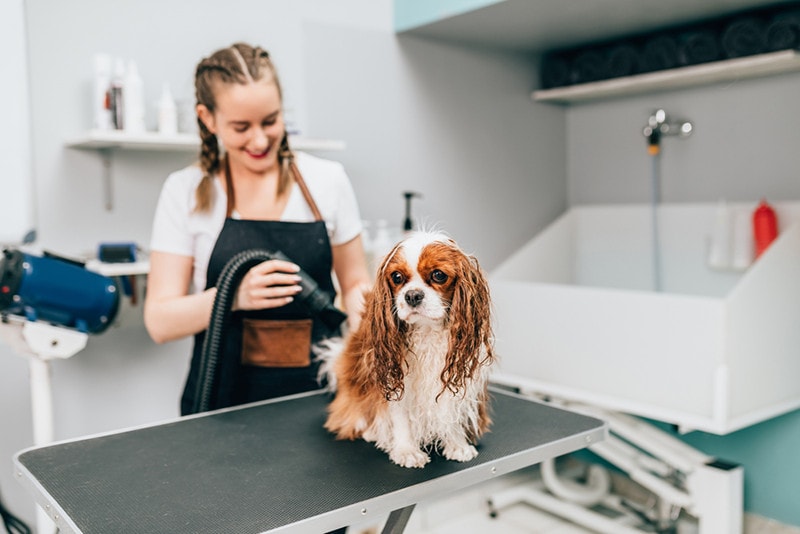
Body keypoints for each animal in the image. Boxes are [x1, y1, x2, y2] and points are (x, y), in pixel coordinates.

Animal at [324, 230, 494, 468]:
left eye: (438, 275)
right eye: (397, 277)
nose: (412, 295)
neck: (427, 330)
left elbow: (450, 411)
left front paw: (456, 444)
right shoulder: (393, 377)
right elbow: (400, 416)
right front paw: (406, 450)